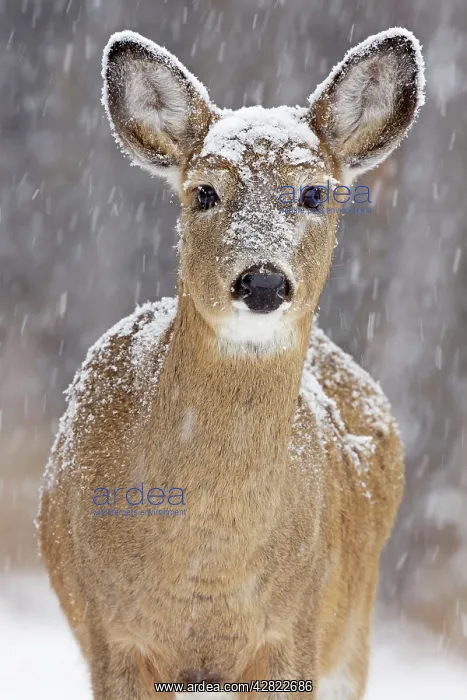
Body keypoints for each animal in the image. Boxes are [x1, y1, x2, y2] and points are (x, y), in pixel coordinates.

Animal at [38, 27, 425, 700]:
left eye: (314, 192)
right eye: (205, 192)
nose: (263, 281)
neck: (206, 563)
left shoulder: (293, 632)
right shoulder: (111, 635)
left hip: (354, 631)